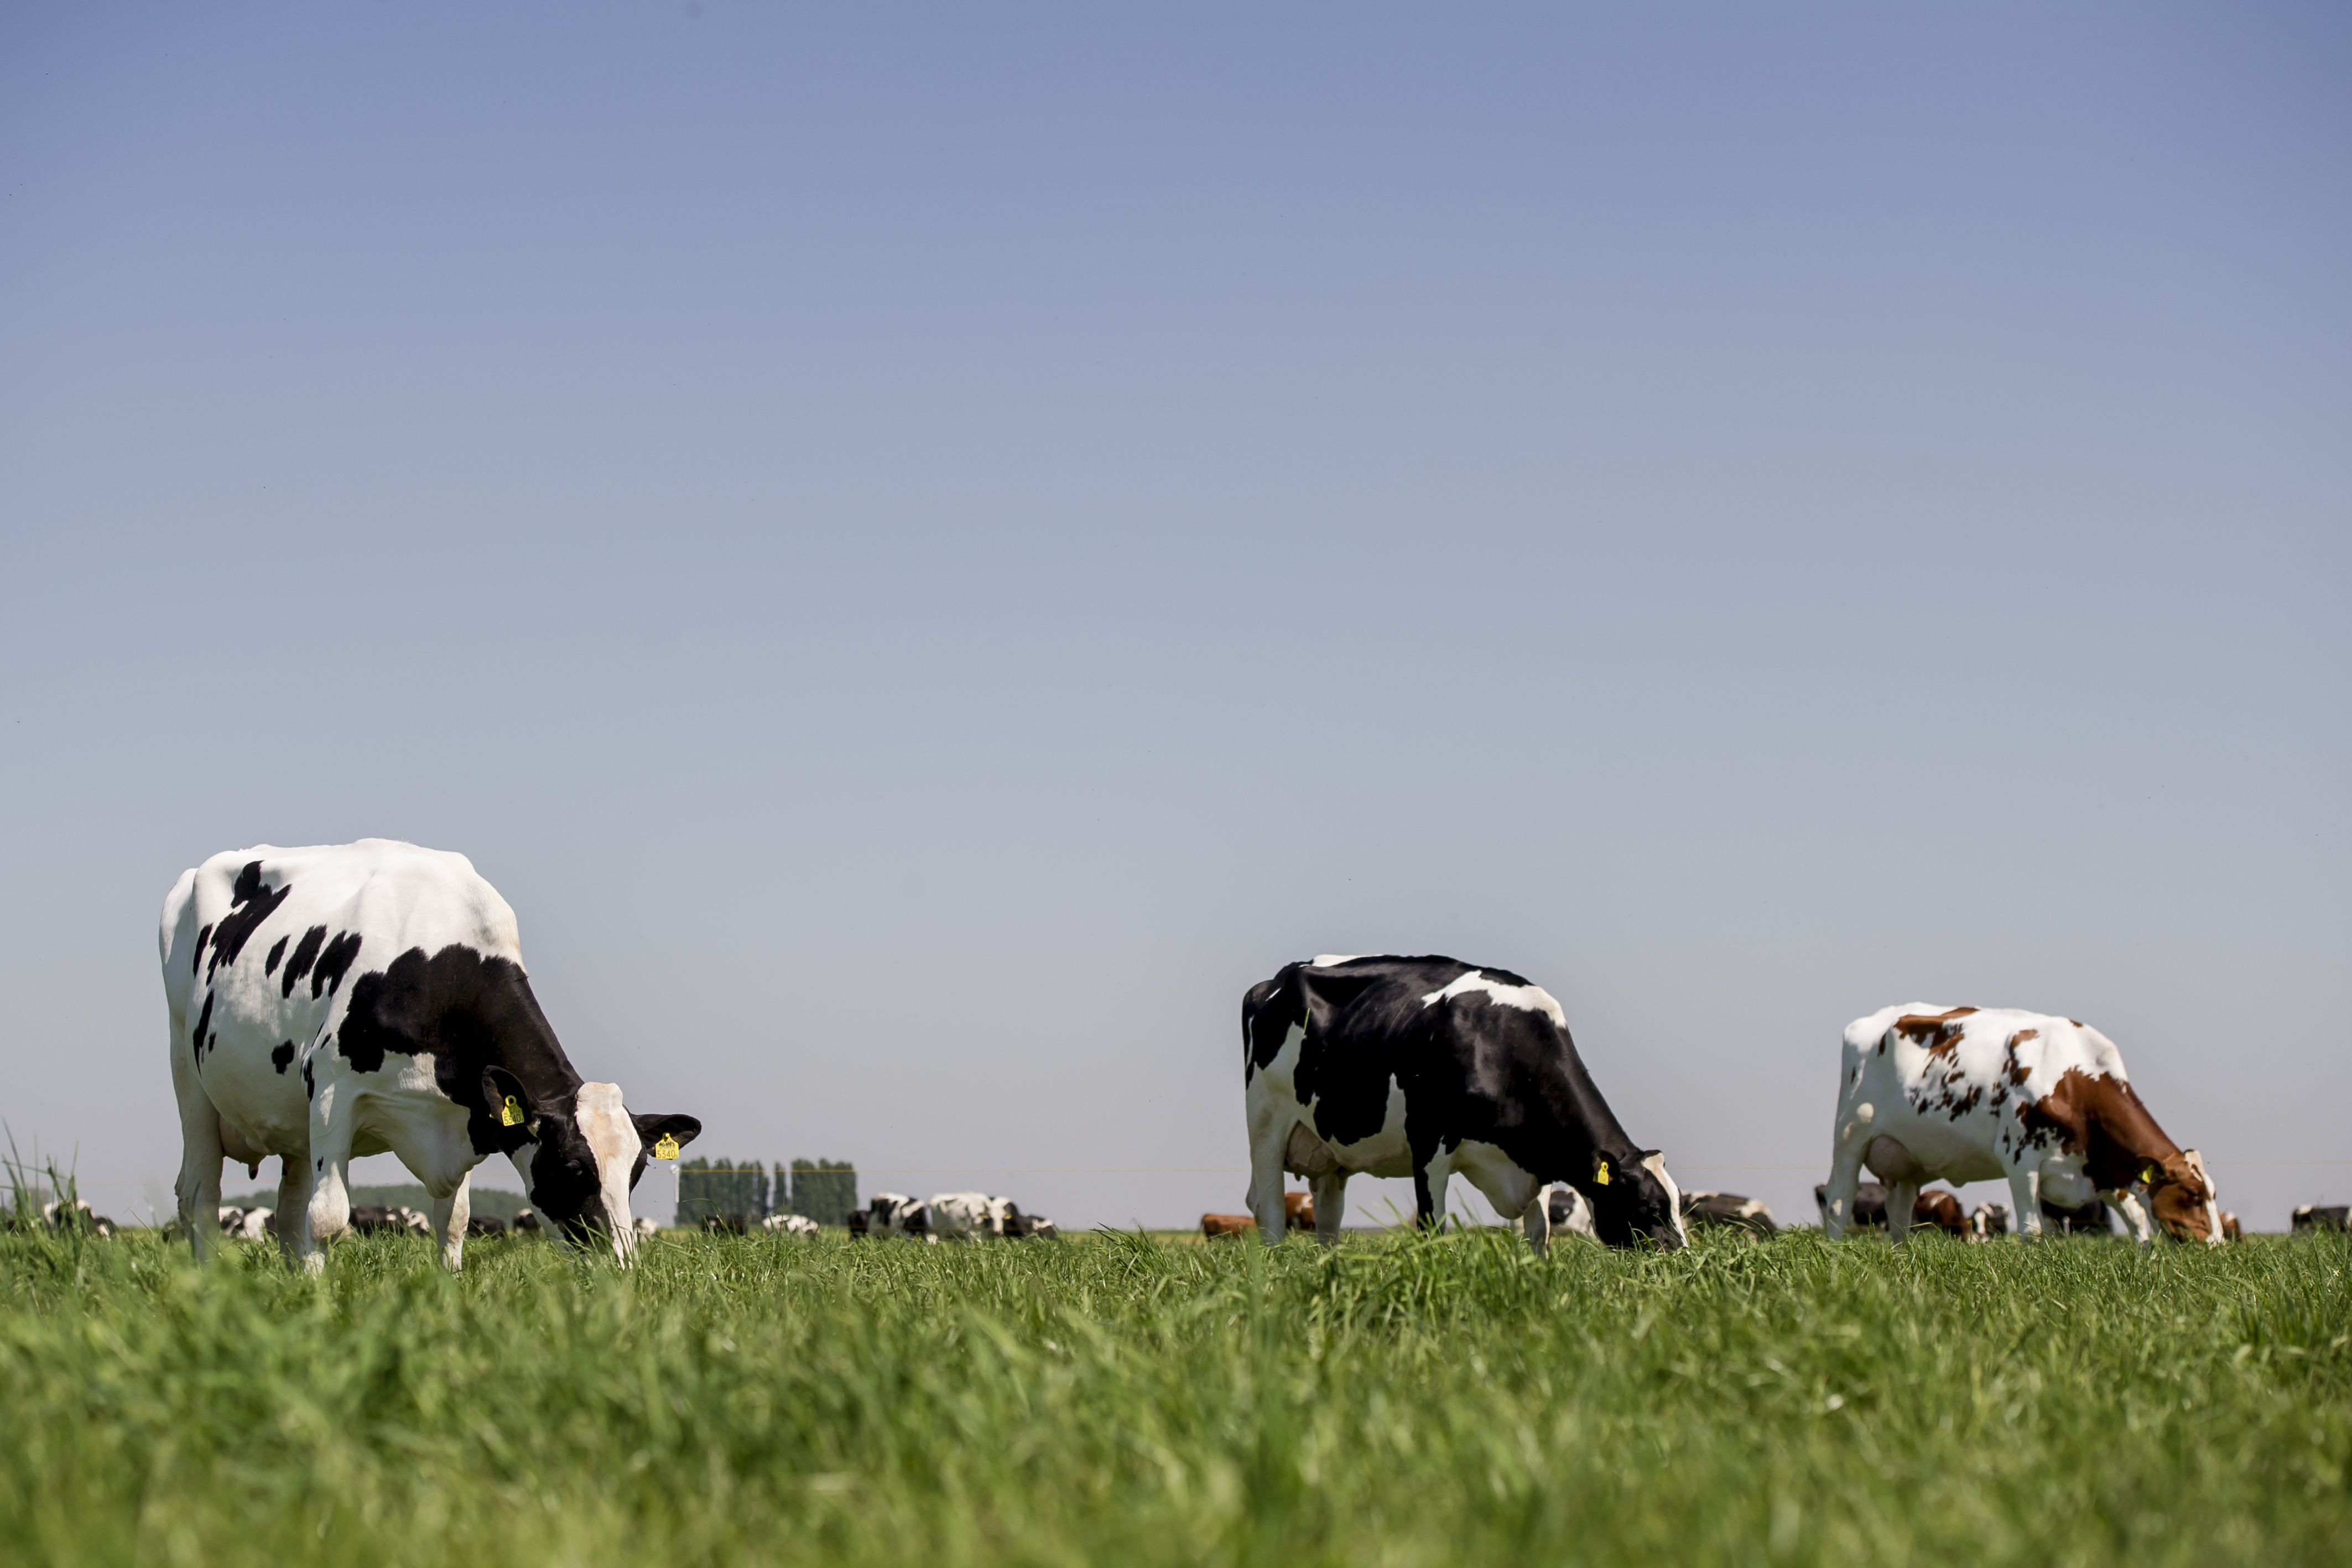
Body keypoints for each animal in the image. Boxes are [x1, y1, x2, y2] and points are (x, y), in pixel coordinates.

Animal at [160, 841, 696, 1269]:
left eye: (636, 1173)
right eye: (571, 1169)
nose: (623, 1268)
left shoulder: (467, 1114)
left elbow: (453, 1222)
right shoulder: (332, 1088)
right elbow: (329, 1216)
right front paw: (318, 1304)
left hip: (290, 1117)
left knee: (289, 1211)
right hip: (187, 1068)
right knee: (201, 1194)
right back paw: (210, 1282)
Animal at [1242, 950, 1684, 1260]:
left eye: (1678, 1203)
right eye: (1650, 1206)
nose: (1681, 1259)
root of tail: (1278, 978)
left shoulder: (1535, 1160)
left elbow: (1538, 1233)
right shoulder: (1429, 1139)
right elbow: (1431, 1225)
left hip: (1330, 1145)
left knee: (1329, 1217)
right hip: (1266, 1120)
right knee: (1269, 1208)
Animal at [1815, 1006, 2220, 1251]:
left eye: (2213, 1193)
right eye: (2194, 1194)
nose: (2216, 1244)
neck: (2073, 1079)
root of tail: (1871, 1020)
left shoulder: (2103, 1166)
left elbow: (2137, 1219)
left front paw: (2146, 1258)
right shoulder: (2021, 1160)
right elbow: (2032, 1229)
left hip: (1906, 1159)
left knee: (1899, 1214)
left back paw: (1902, 1256)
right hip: (1849, 1136)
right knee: (1839, 1199)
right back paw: (1835, 1251)